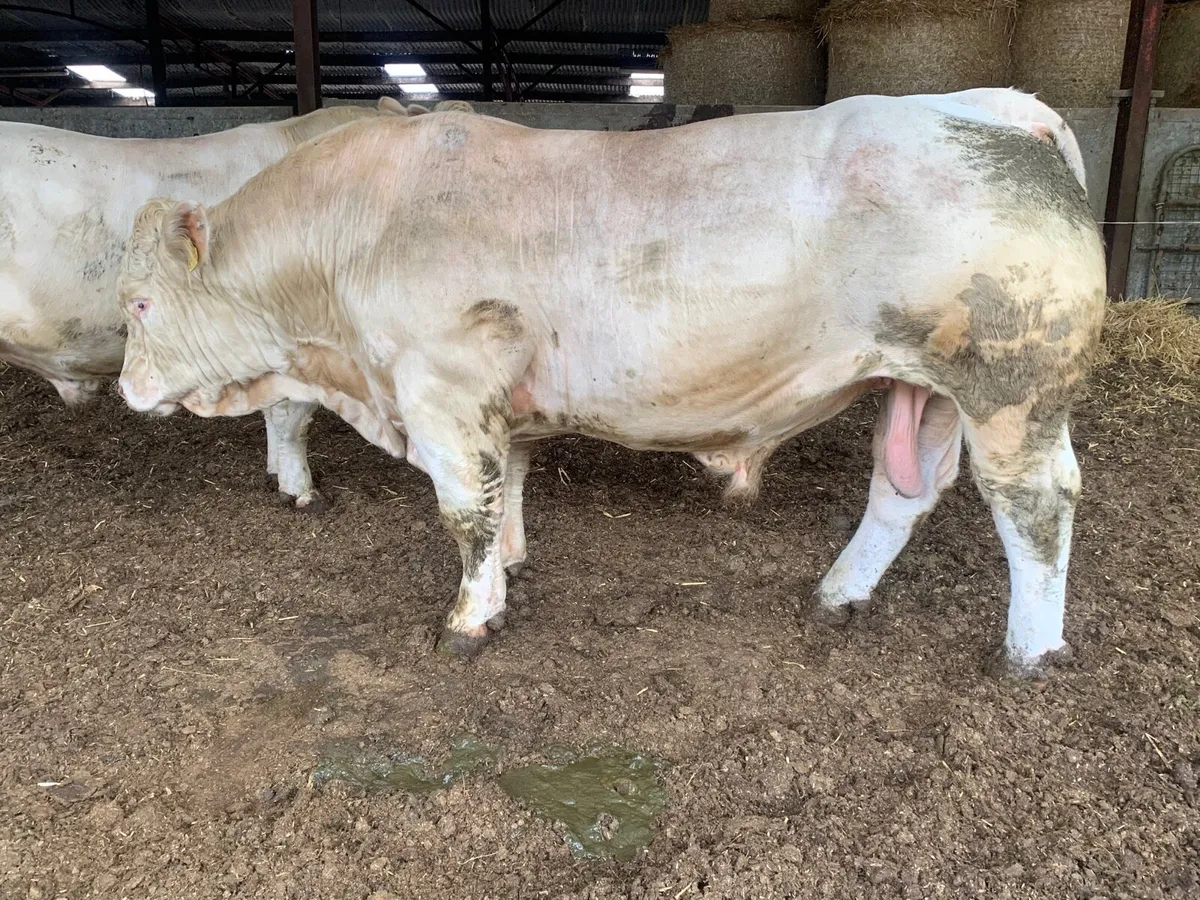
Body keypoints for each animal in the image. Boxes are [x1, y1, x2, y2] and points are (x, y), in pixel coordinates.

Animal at [115, 88, 1106, 677]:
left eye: (138, 303)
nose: (125, 388)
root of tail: (987, 103)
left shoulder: (442, 390)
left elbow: (463, 513)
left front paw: (470, 616)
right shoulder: (497, 402)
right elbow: (506, 488)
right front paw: (512, 563)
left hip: (1010, 388)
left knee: (1037, 505)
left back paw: (1030, 650)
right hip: (925, 392)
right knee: (904, 493)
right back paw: (839, 595)